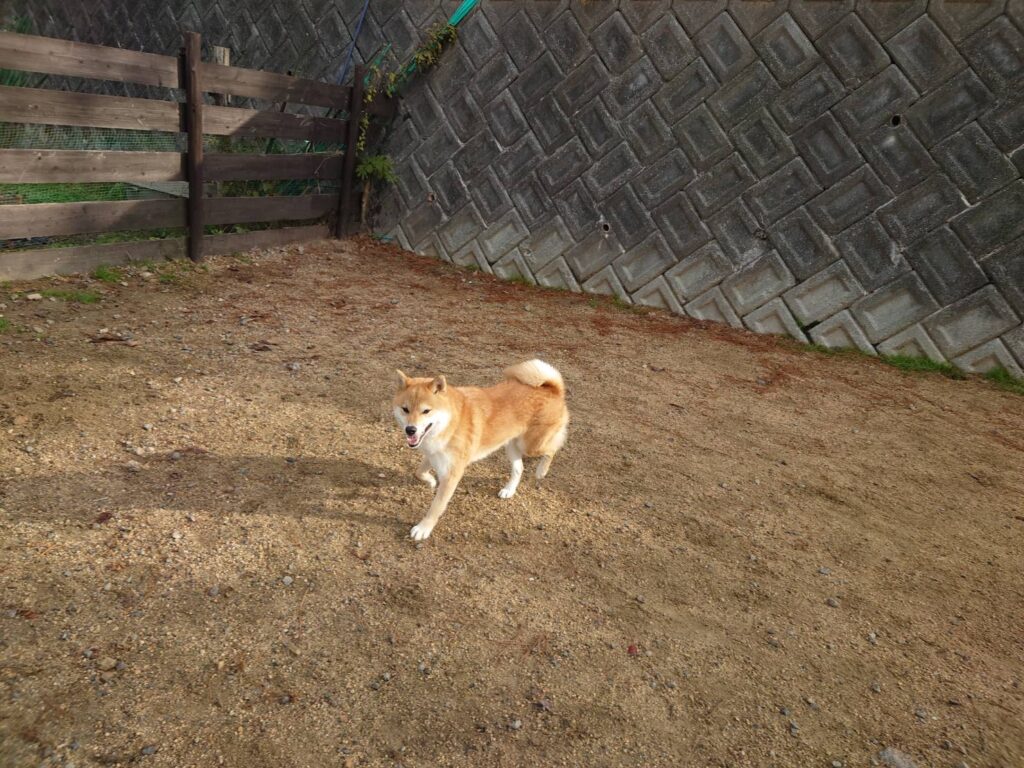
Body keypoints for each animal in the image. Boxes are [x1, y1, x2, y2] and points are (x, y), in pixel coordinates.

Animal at [392, 359, 569, 541]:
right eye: (405, 409)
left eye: (426, 411)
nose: (410, 430)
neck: (450, 423)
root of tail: (553, 389)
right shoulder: (433, 455)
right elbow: (418, 472)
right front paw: (431, 481)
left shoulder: (451, 474)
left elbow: (436, 506)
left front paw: (423, 528)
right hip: (511, 445)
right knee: (519, 468)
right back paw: (509, 490)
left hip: (531, 445)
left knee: (552, 449)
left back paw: (541, 471)